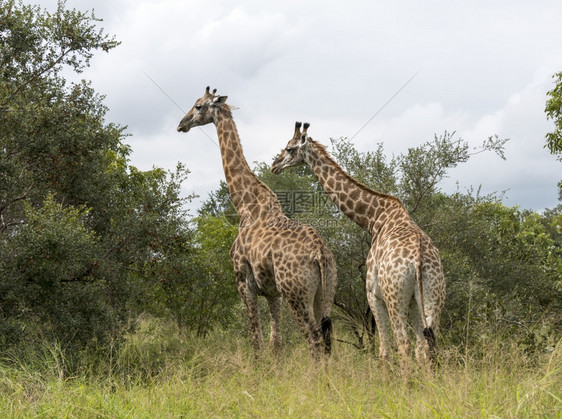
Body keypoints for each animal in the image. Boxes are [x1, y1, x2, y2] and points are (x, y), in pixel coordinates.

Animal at [175, 90, 334, 360]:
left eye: (198, 106)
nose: (181, 124)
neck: (246, 206)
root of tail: (320, 253)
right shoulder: (272, 292)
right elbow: (276, 343)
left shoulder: (242, 281)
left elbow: (257, 342)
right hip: (325, 294)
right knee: (327, 342)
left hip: (297, 294)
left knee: (313, 340)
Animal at [272, 121, 446, 370]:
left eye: (289, 148)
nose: (274, 165)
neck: (374, 219)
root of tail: (419, 260)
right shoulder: (414, 302)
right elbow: (420, 348)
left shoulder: (372, 294)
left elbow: (384, 350)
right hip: (434, 296)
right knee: (429, 345)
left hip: (394, 298)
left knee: (403, 345)